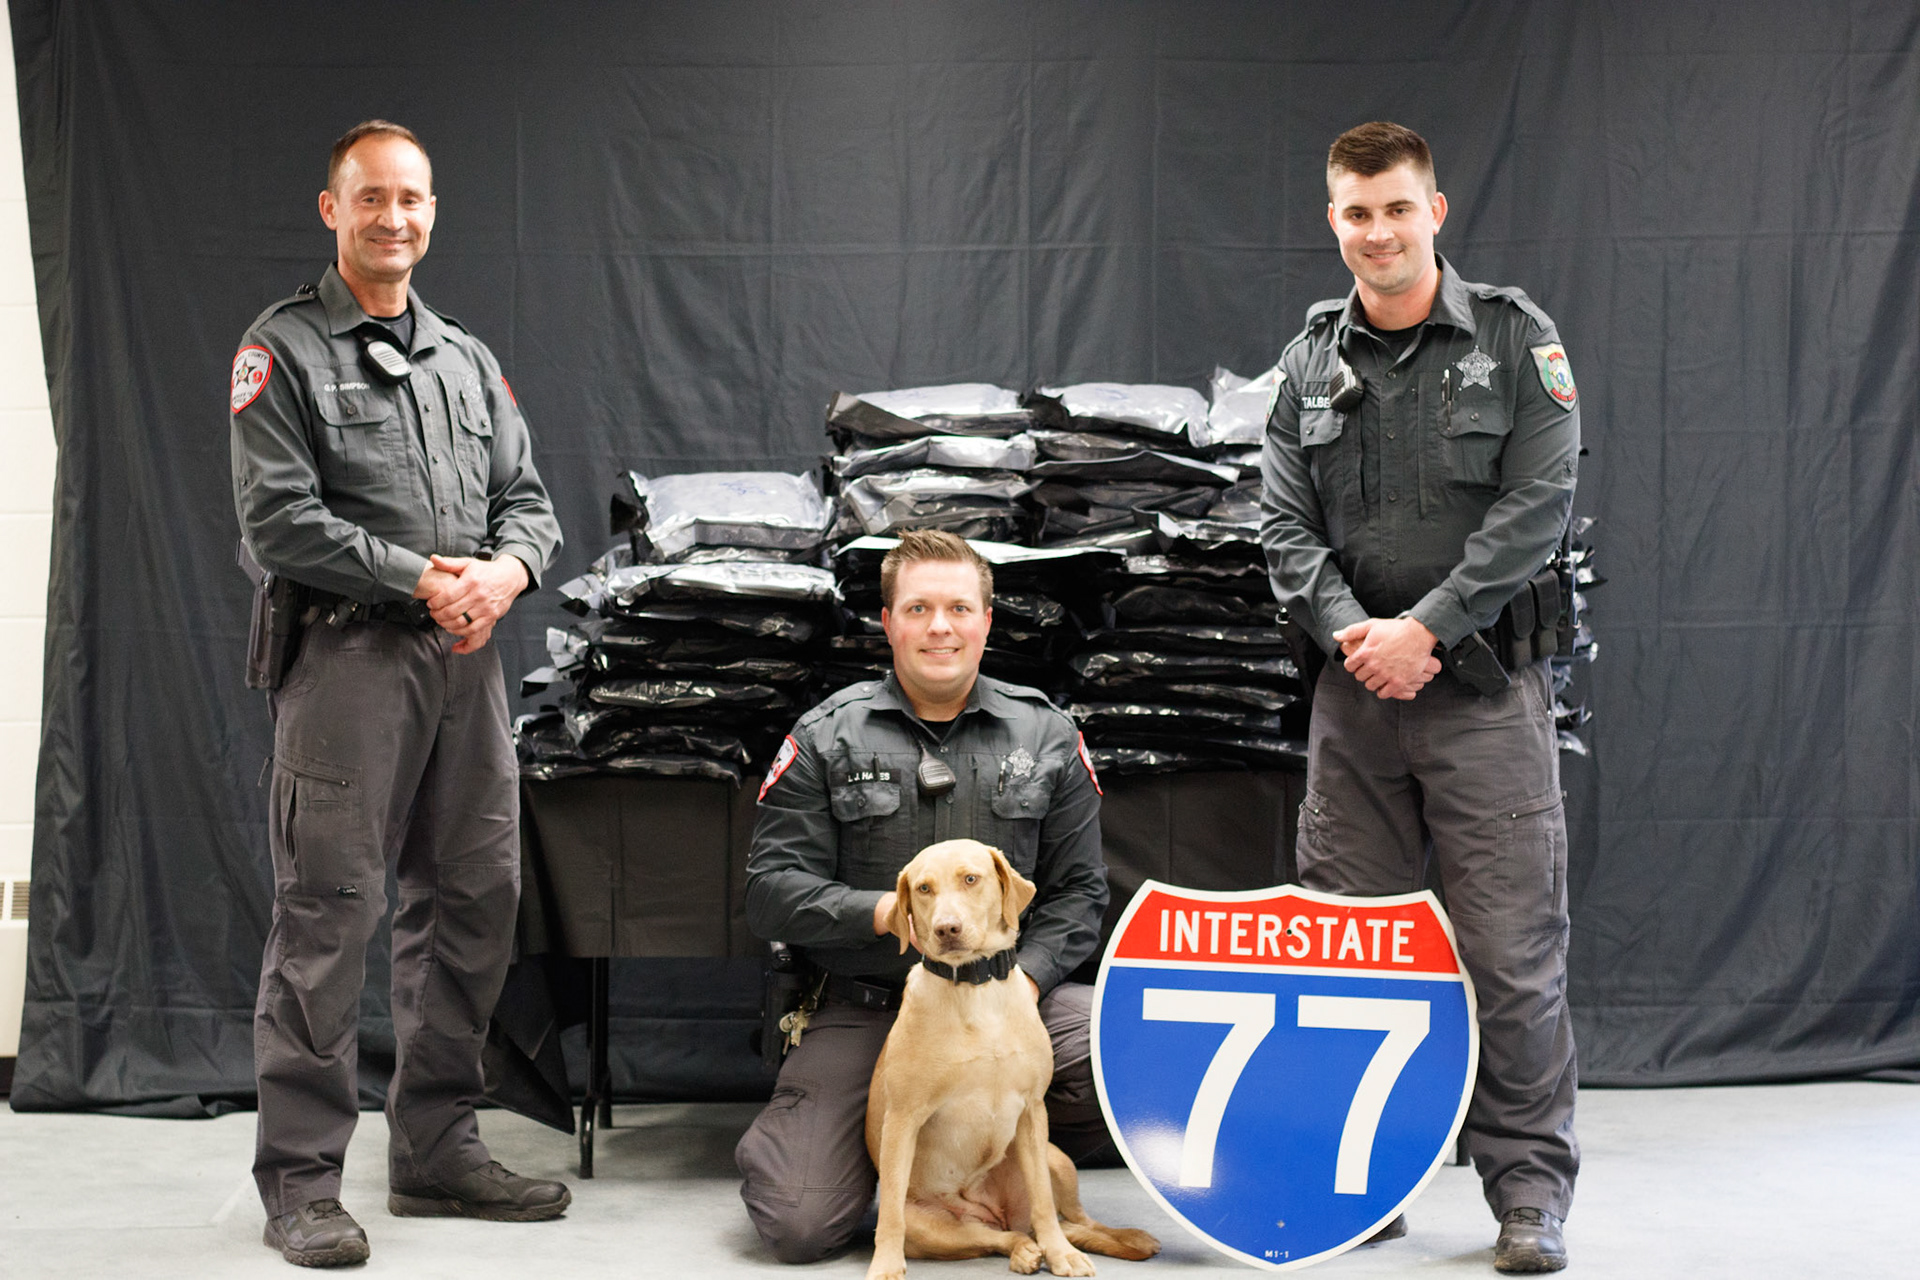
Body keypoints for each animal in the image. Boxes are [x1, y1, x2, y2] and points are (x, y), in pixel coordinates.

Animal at [865, 838, 1160, 1280]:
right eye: (923, 889)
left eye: (971, 879)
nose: (946, 929)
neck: (975, 987)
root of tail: (997, 1211)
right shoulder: (902, 1119)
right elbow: (890, 1218)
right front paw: (885, 1264)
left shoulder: (1032, 1112)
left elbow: (1043, 1203)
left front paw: (1061, 1254)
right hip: (939, 1227)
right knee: (1001, 1237)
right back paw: (1025, 1251)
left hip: (1058, 1159)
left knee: (1076, 1222)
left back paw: (1112, 1239)